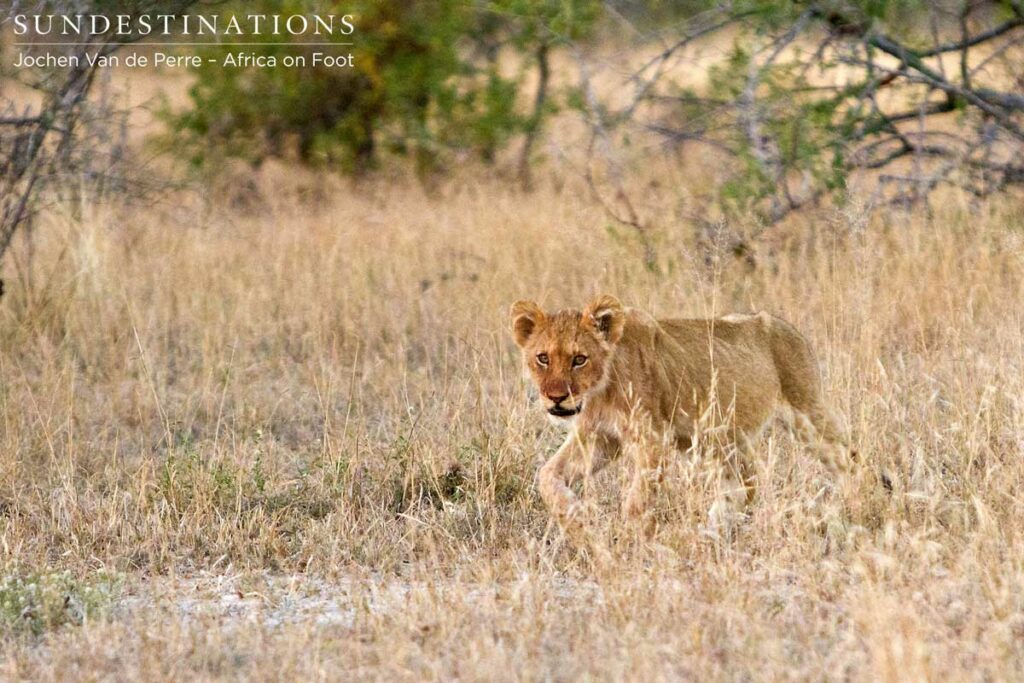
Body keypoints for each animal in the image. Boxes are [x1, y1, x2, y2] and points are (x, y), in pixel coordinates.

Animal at [510, 294, 854, 547]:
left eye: (579, 359)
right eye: (543, 358)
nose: (557, 398)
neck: (599, 390)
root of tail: (791, 329)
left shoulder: (651, 439)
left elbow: (636, 502)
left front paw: (635, 546)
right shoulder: (599, 438)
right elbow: (547, 476)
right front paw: (577, 521)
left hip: (807, 414)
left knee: (849, 460)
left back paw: (844, 509)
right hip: (718, 441)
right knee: (746, 484)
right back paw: (711, 532)